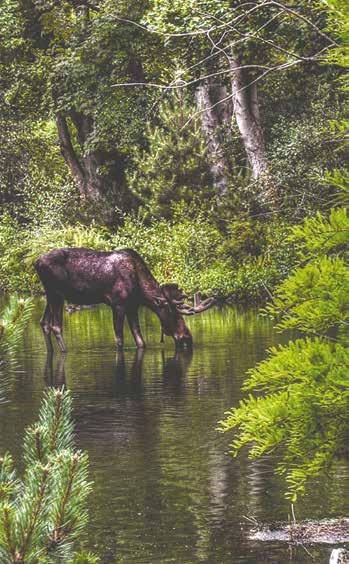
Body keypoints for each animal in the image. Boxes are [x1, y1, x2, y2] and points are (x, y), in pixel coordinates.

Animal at [35, 248, 215, 352]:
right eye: (175, 314)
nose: (187, 338)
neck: (140, 290)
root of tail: (36, 262)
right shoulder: (118, 304)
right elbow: (119, 339)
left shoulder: (132, 306)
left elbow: (141, 341)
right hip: (56, 293)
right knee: (56, 326)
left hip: (50, 294)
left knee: (44, 323)